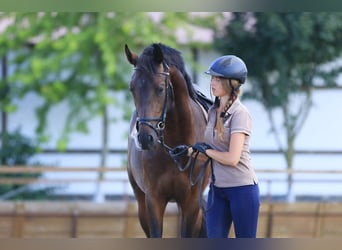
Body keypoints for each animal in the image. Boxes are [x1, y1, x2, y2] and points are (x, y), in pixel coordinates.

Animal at [125, 43, 211, 238]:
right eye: (132, 89)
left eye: (160, 88)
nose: (145, 138)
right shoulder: (153, 200)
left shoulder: (191, 203)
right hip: (141, 201)